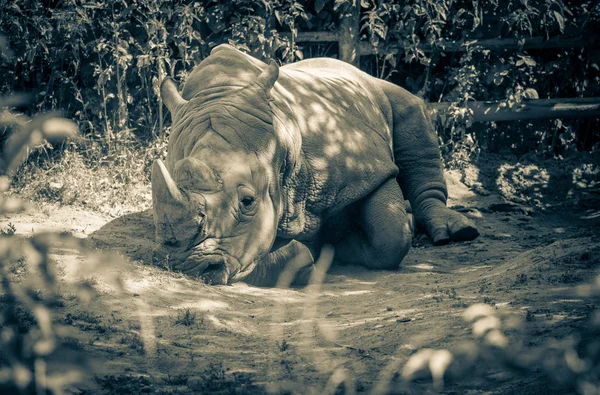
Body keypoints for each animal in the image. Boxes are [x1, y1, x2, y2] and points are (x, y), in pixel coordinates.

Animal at [154, 44, 478, 286]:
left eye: (248, 201)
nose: (190, 267)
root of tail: (354, 69)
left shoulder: (370, 171)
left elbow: (392, 235)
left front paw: (340, 244)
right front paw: (313, 250)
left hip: (382, 91)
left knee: (412, 112)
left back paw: (457, 232)